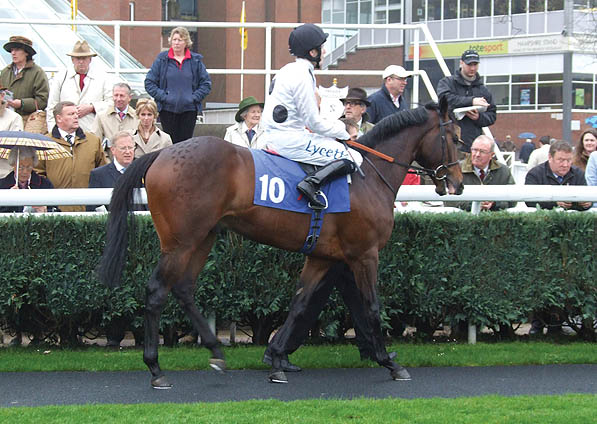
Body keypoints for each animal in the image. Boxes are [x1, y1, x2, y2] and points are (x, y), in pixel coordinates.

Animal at [98, 97, 464, 390]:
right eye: (456, 137)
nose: (459, 183)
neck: (369, 177)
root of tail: (161, 155)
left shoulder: (323, 257)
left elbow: (300, 303)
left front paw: (276, 359)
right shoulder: (364, 255)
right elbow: (372, 307)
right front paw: (390, 362)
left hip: (203, 236)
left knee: (184, 288)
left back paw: (216, 350)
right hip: (181, 241)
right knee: (157, 290)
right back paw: (156, 368)